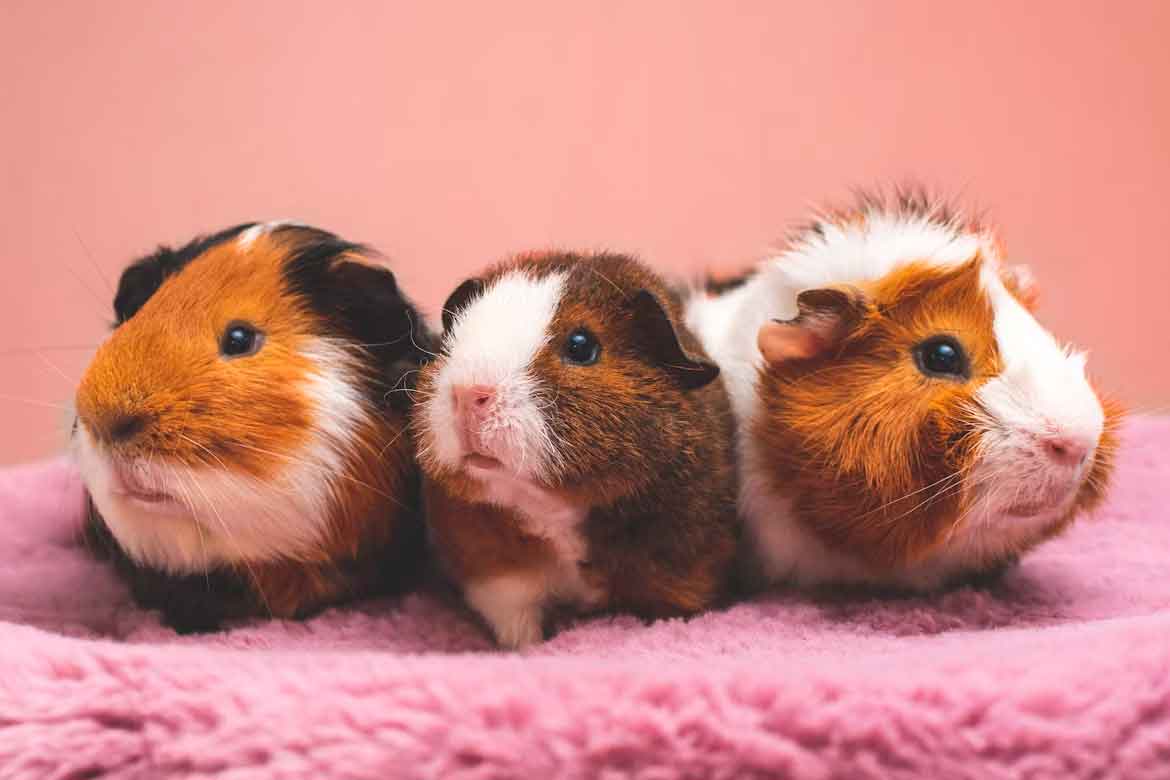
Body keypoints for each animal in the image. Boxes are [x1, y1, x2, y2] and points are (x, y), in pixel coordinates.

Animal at [414, 251, 740, 648]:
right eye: (454, 339)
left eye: (581, 345)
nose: (467, 393)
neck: (555, 511)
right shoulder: (499, 579)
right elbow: (517, 620)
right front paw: (525, 646)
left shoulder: (685, 573)